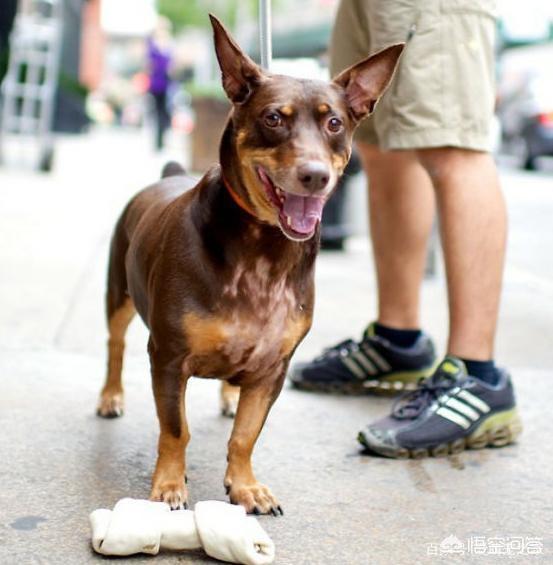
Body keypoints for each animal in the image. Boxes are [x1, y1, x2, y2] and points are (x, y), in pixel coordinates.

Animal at [97, 15, 404, 512]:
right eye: (273, 117)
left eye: (334, 122)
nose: (315, 176)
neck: (264, 250)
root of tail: (169, 175)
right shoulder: (168, 358)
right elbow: (175, 429)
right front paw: (169, 485)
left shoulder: (272, 370)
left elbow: (245, 435)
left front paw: (244, 486)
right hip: (118, 296)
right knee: (115, 345)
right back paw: (110, 396)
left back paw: (227, 395)